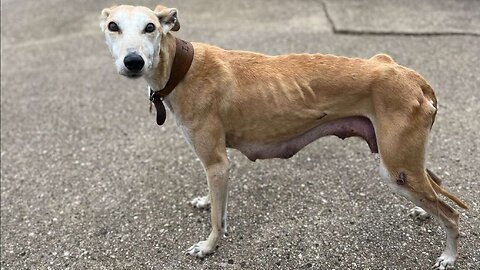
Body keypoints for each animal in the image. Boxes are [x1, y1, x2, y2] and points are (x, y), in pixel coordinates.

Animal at [99, 5, 466, 268]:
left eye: (150, 27)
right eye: (112, 26)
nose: (133, 62)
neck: (182, 66)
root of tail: (411, 76)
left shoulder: (217, 162)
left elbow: (218, 219)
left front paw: (208, 247)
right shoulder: (217, 166)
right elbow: (217, 205)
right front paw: (206, 202)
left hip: (397, 169)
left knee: (451, 214)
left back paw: (449, 256)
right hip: (404, 159)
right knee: (436, 183)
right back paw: (423, 212)